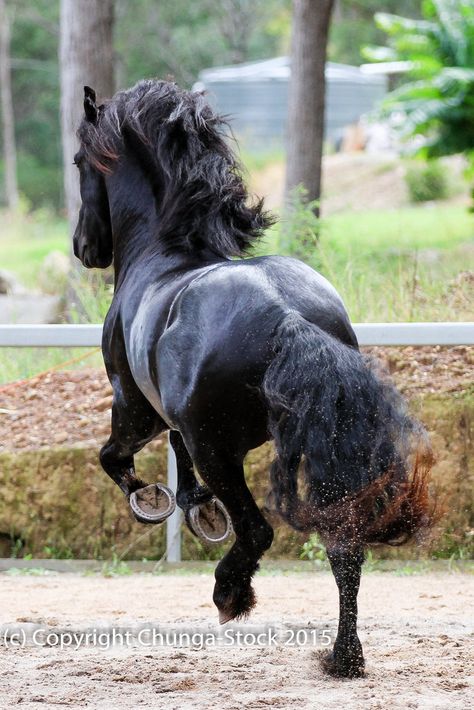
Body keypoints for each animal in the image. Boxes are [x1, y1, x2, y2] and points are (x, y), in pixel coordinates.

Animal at [71, 80, 434, 680]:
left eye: (79, 161)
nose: (84, 248)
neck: (164, 256)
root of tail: (284, 313)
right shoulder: (173, 416)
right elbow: (169, 451)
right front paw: (196, 507)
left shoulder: (134, 407)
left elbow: (114, 458)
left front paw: (155, 503)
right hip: (327, 450)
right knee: (345, 543)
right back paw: (343, 657)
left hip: (220, 448)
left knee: (258, 529)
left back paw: (230, 593)